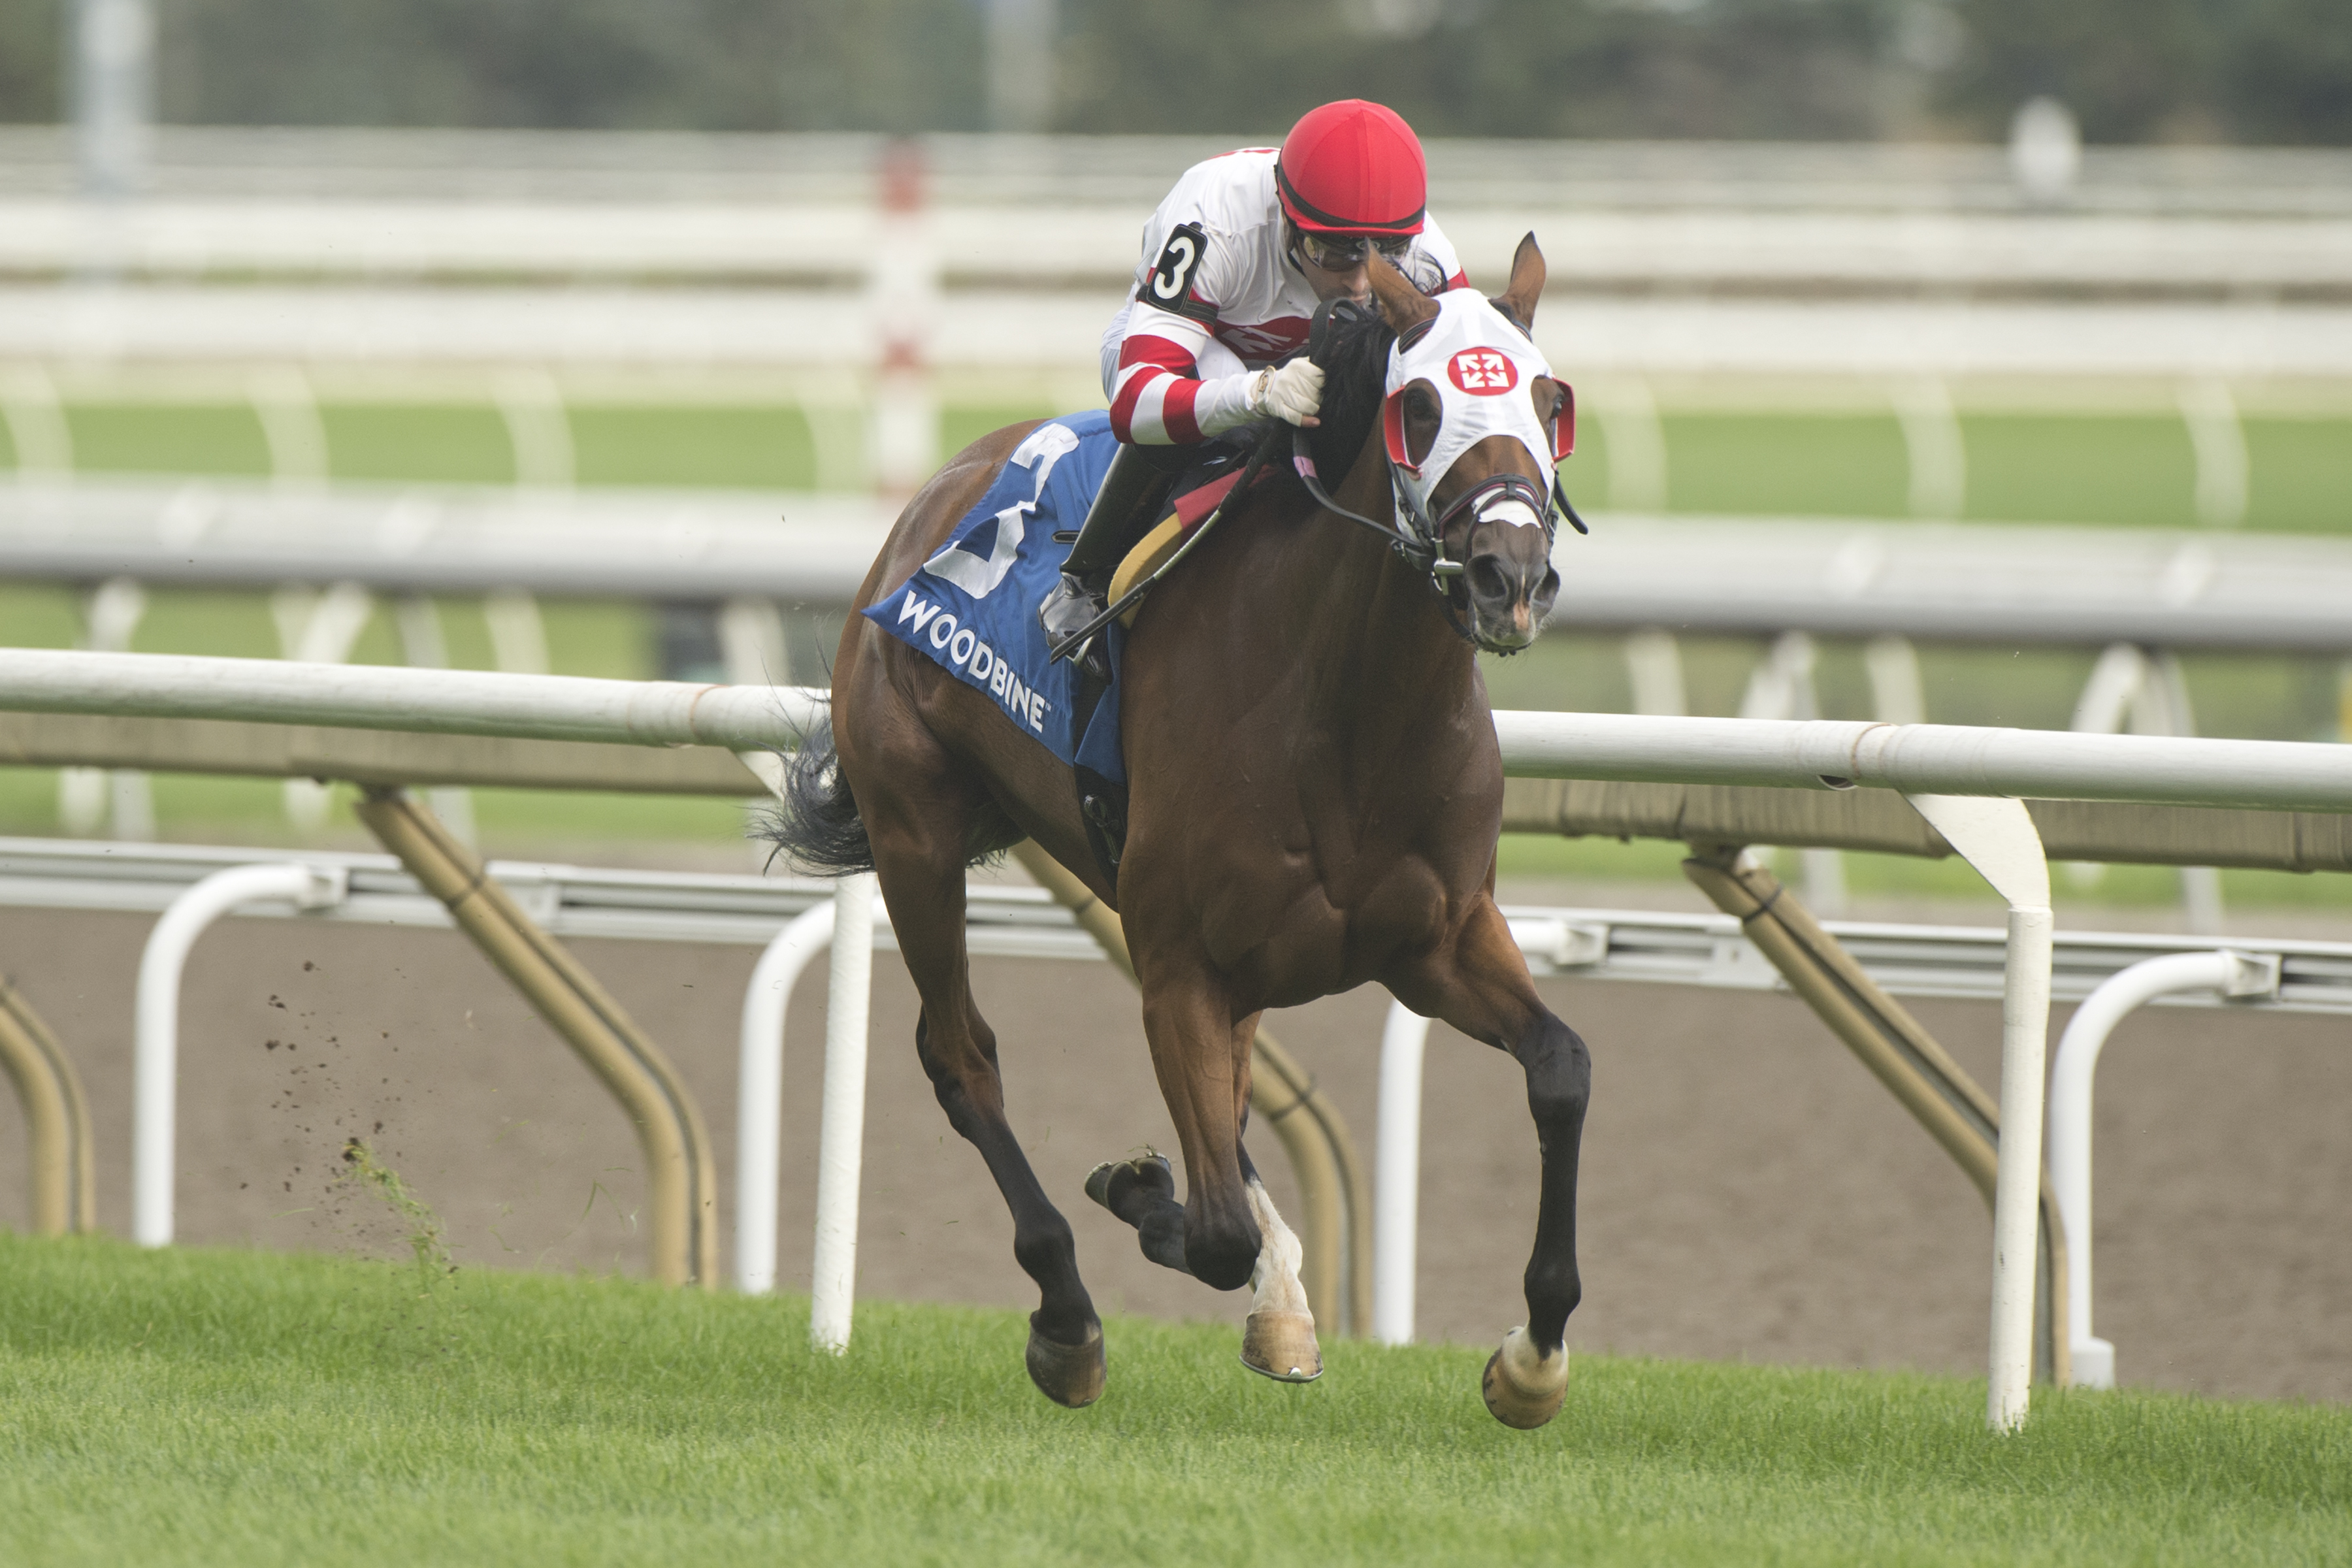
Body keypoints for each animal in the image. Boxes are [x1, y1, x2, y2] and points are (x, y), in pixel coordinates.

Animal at [762, 240, 1590, 1429]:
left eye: (1550, 401)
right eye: (1420, 405)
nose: (1508, 579)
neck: (1349, 711)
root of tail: (940, 489)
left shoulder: (1435, 942)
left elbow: (1561, 1069)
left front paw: (1533, 1358)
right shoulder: (1178, 964)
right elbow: (1214, 1230)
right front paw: (1145, 1200)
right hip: (914, 825)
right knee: (962, 1057)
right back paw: (1071, 1315)